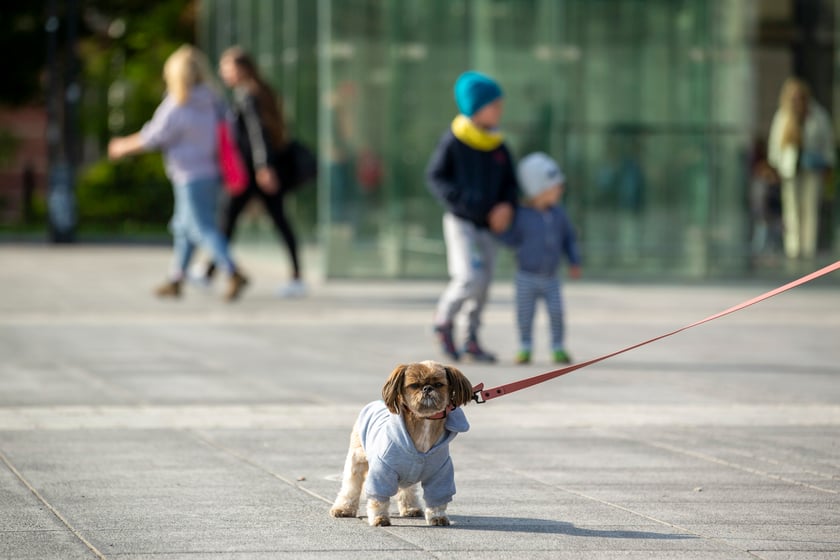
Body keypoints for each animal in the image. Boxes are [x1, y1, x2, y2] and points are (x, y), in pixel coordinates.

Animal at [328, 360, 472, 528]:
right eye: (414, 385)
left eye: (438, 384)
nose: (427, 388)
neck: (423, 424)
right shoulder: (382, 472)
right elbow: (378, 499)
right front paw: (380, 518)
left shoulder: (441, 474)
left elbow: (437, 498)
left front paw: (438, 517)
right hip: (357, 460)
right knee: (350, 487)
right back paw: (344, 508)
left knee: (407, 489)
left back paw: (410, 508)